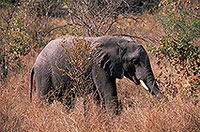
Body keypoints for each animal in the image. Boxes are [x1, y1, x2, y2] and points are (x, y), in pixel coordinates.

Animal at [29, 35, 164, 114]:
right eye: (134, 61)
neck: (118, 42)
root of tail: (35, 63)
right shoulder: (98, 65)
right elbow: (107, 91)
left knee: (68, 100)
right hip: (43, 73)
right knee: (44, 99)